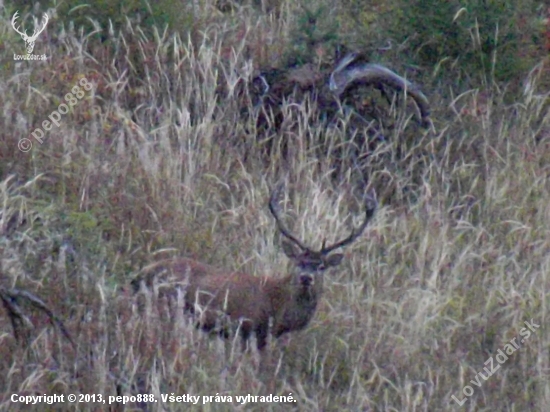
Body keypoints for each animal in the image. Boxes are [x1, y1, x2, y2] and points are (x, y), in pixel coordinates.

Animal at [132, 185, 378, 350]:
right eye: (298, 261)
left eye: (321, 266)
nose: (306, 278)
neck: (280, 307)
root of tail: (141, 273)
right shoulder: (251, 328)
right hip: (168, 305)